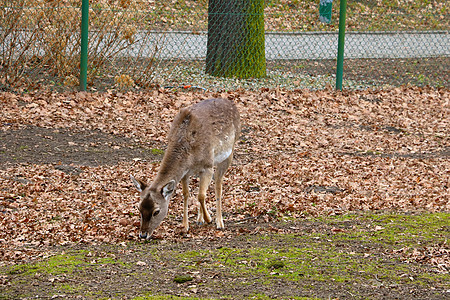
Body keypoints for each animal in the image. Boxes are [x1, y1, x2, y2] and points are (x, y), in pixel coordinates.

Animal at [131, 98, 241, 239]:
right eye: (139, 208)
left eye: (156, 211)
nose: (143, 234)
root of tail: (232, 103)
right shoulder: (185, 173)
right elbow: (187, 194)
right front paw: (185, 225)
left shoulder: (207, 165)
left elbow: (201, 195)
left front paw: (209, 219)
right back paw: (200, 220)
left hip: (229, 152)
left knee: (218, 184)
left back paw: (219, 222)